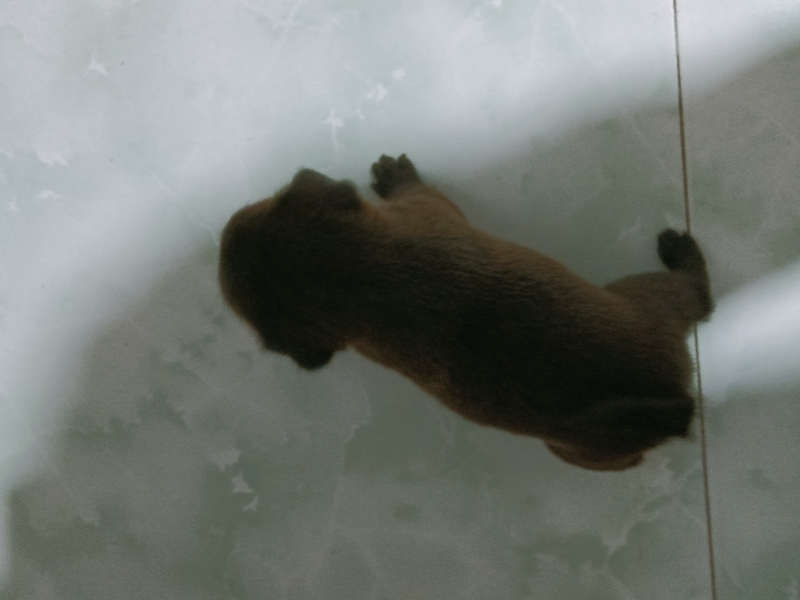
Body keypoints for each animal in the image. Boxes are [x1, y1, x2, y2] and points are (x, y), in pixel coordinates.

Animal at [219, 156, 712, 474]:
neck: (356, 275)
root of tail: (666, 402)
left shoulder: (426, 213)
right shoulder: (425, 214)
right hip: (643, 301)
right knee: (699, 299)